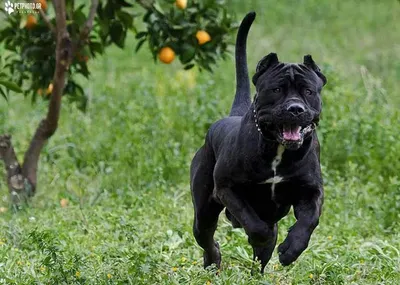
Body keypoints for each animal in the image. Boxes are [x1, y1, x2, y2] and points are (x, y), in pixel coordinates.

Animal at [191, 12, 328, 272]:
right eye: (276, 89)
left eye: (308, 91)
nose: (295, 109)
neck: (279, 150)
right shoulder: (227, 187)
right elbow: (252, 222)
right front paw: (262, 236)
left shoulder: (310, 191)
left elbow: (309, 221)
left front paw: (290, 250)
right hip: (204, 209)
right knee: (206, 236)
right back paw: (214, 261)